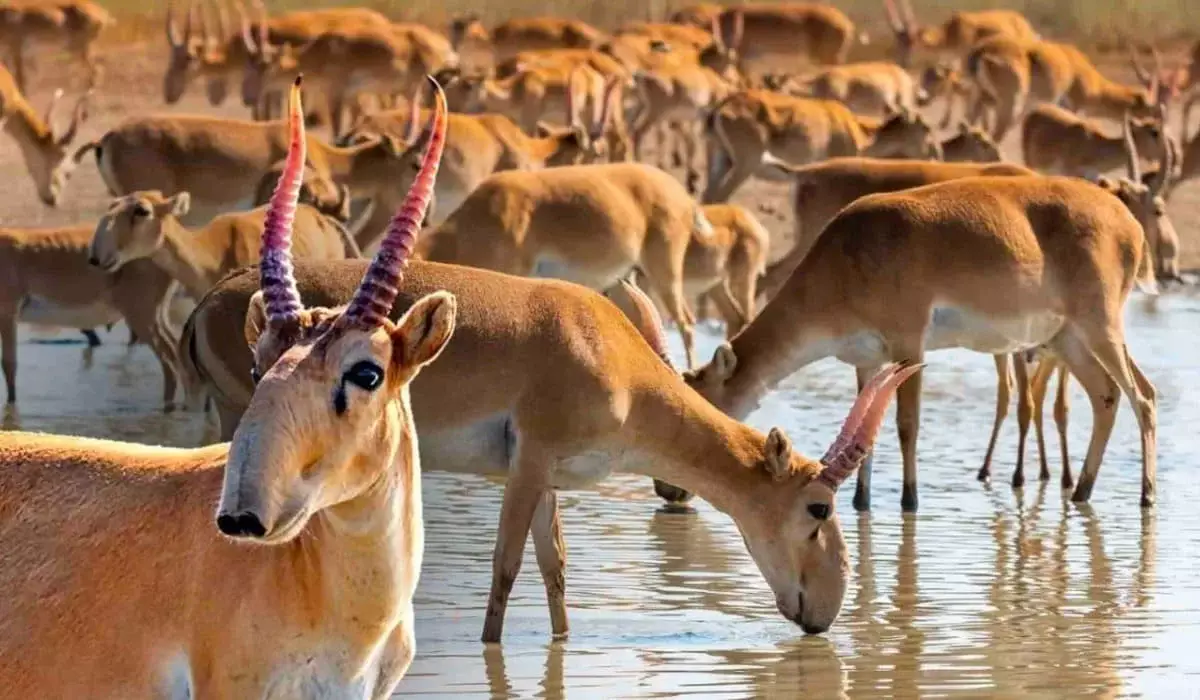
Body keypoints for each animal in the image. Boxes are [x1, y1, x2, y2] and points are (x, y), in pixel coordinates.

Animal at [686, 175, 1161, 513]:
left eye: (704, 401)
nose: (672, 492)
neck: (847, 259)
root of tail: (1131, 225)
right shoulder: (866, 361)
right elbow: (864, 431)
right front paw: (861, 502)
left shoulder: (909, 346)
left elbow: (906, 425)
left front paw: (909, 500)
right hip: (1069, 339)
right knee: (1107, 395)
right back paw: (1081, 492)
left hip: (1100, 327)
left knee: (1143, 396)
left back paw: (1146, 495)